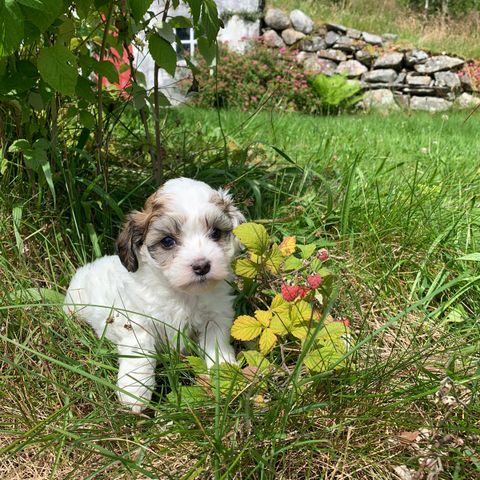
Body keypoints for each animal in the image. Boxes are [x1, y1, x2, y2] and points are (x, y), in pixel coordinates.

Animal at [63, 177, 244, 412]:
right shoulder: (136, 321)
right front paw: (134, 391)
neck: (180, 293)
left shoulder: (215, 318)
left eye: (215, 233)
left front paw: (225, 374)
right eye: (167, 241)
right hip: (75, 301)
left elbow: (216, 345)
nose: (202, 266)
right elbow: (139, 354)